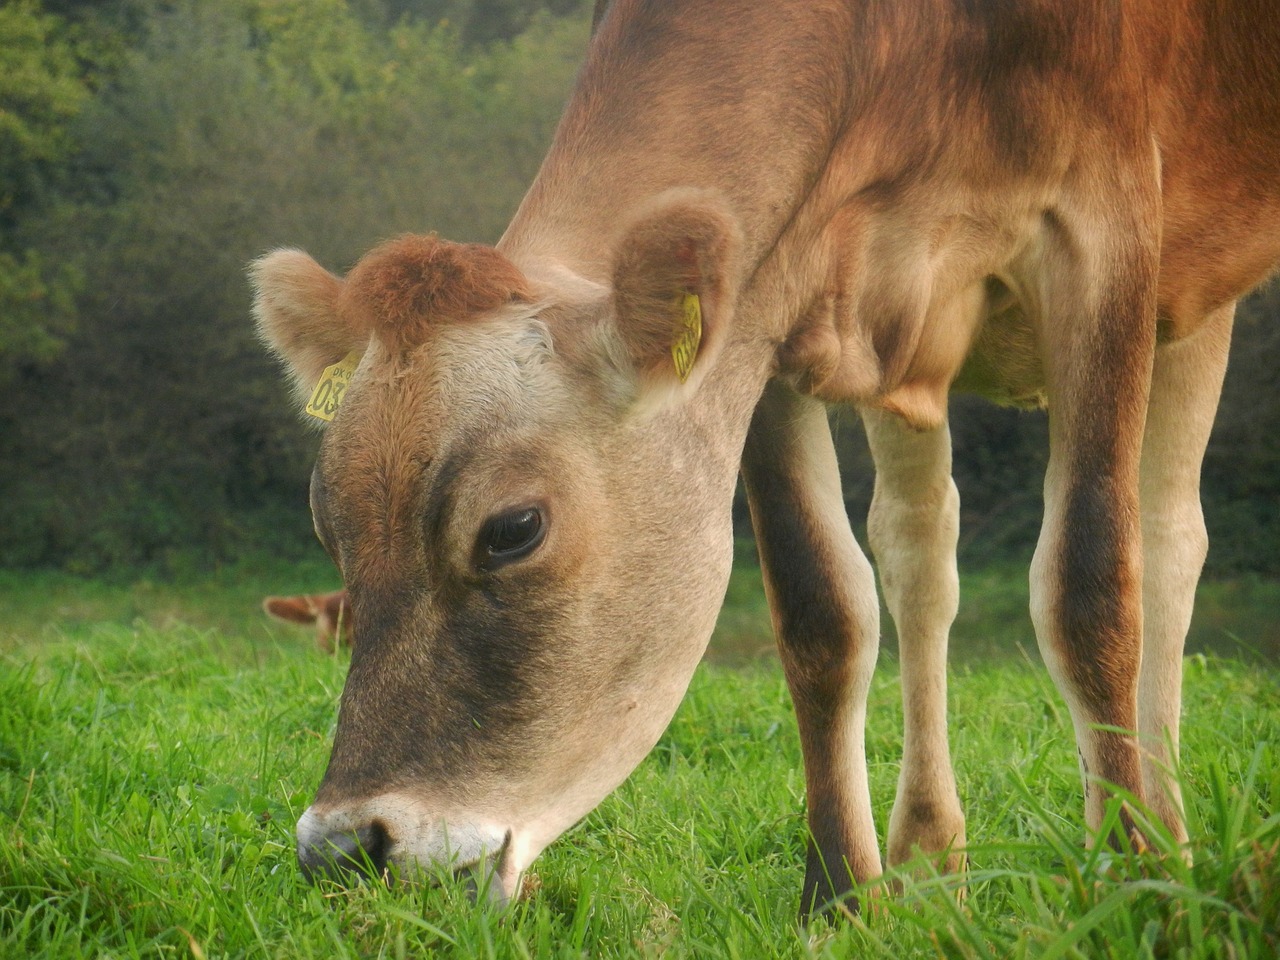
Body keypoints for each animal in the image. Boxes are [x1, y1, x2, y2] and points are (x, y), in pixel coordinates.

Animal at [249, 0, 1280, 916]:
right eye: (327, 525)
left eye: (513, 528)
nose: (346, 848)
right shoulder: (774, 314)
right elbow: (823, 609)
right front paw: (842, 895)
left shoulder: (1103, 231)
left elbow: (1088, 584)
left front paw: (1133, 878)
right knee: (919, 552)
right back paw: (928, 857)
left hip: (1192, 297)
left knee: (1169, 544)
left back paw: (1172, 837)